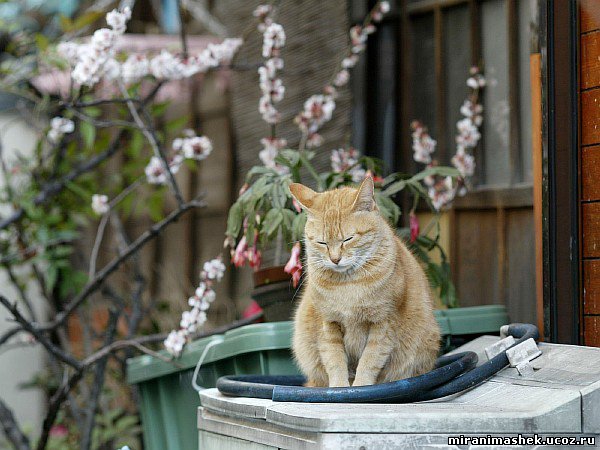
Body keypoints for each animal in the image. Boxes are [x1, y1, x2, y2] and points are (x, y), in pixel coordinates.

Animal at [288, 176, 438, 386]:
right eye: (322, 243)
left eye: (348, 239)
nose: (335, 259)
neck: (347, 284)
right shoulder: (329, 324)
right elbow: (334, 361)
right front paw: (339, 388)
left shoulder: (383, 325)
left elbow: (369, 361)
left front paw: (360, 387)